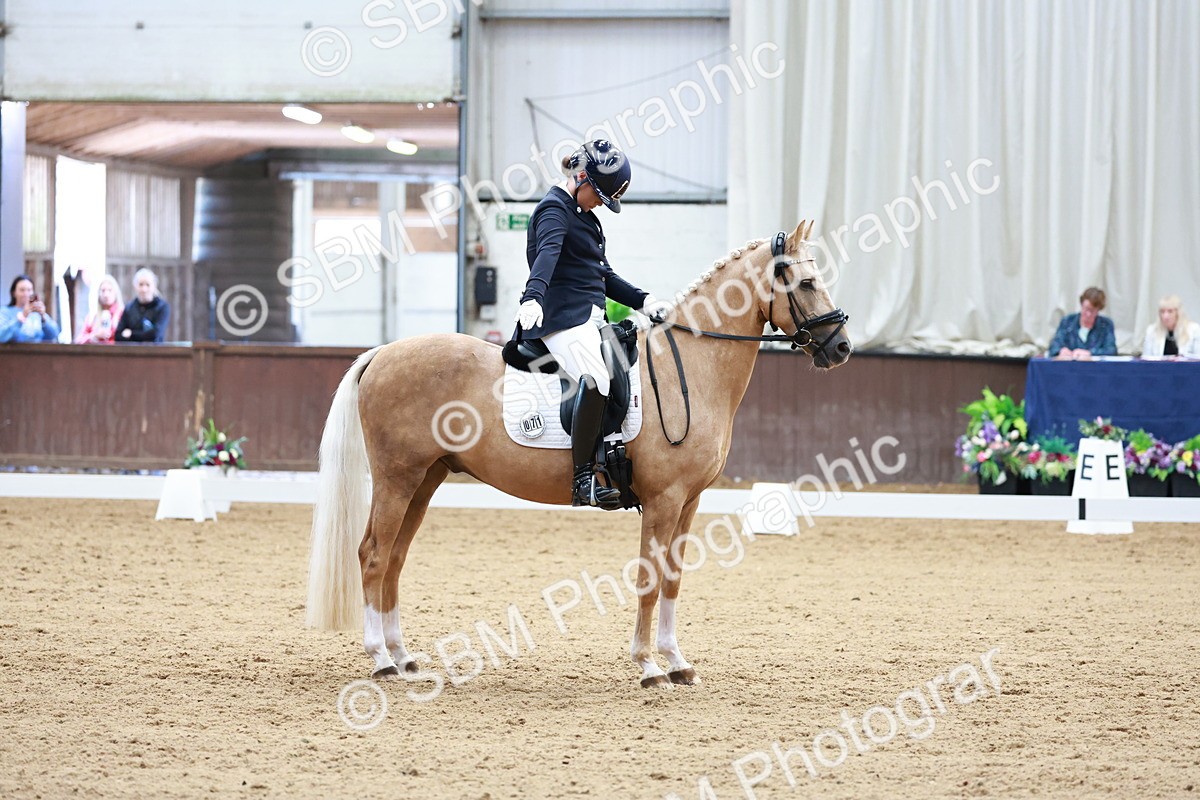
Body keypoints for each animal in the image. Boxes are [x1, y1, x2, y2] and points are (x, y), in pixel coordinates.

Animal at [306, 220, 852, 688]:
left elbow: (673, 579)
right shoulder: (663, 500)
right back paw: (380, 659)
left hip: (425, 480)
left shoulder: (689, 501)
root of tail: (383, 353)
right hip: (397, 478)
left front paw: (677, 662)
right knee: (374, 555)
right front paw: (647, 666)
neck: (691, 368)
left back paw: (403, 657)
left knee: (395, 559)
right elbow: (649, 579)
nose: (842, 347)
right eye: (806, 282)